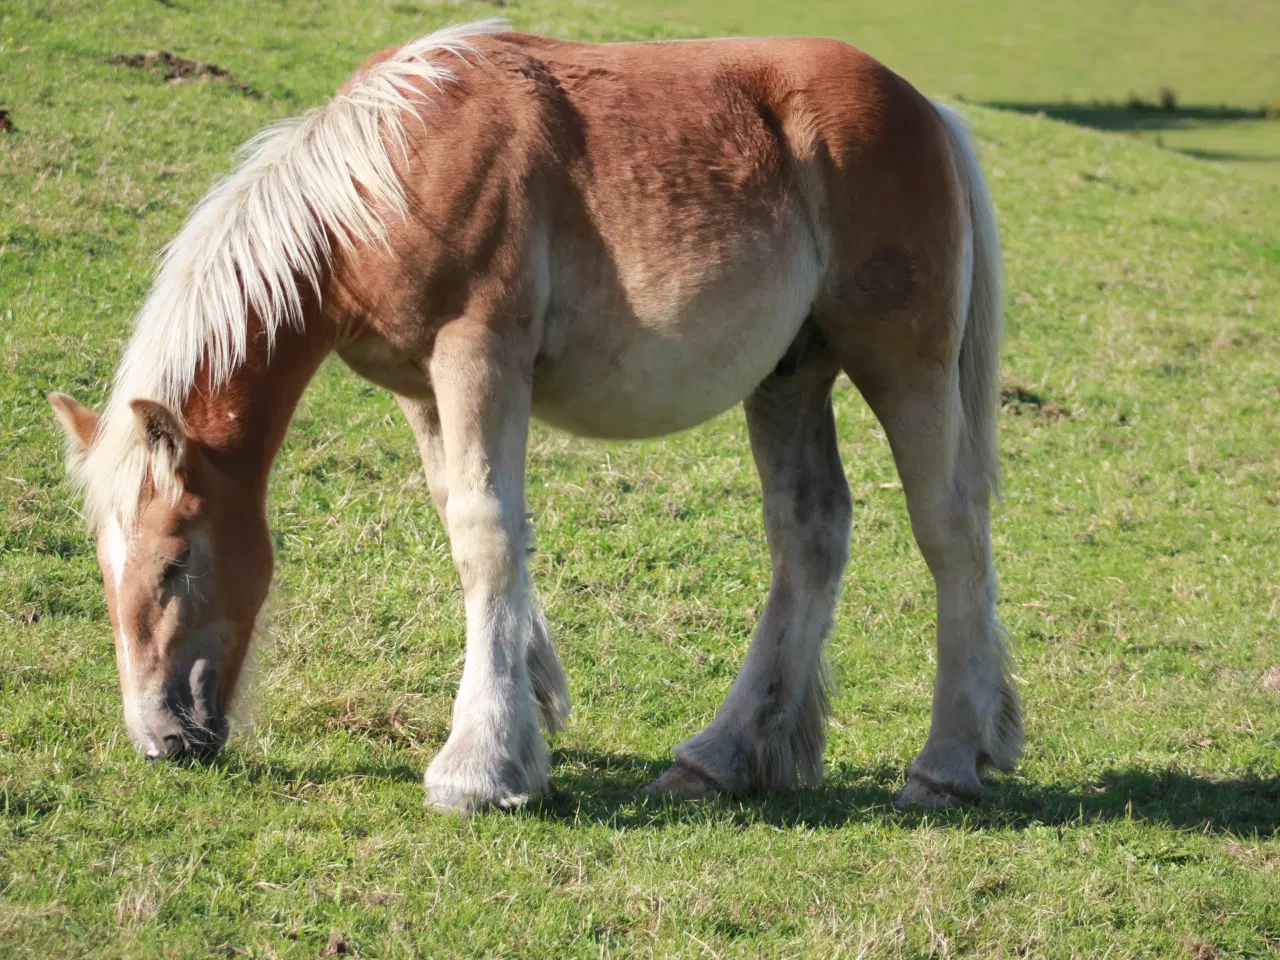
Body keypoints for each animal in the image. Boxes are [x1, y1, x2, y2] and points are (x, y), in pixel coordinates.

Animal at [52, 20, 1018, 814]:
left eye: (176, 562)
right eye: (106, 569)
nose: (162, 737)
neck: (384, 173)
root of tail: (927, 111)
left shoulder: (479, 356)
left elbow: (486, 533)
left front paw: (478, 766)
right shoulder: (421, 386)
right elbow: (469, 522)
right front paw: (533, 697)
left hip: (903, 363)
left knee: (950, 531)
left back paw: (947, 764)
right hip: (789, 377)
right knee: (809, 536)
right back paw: (721, 757)